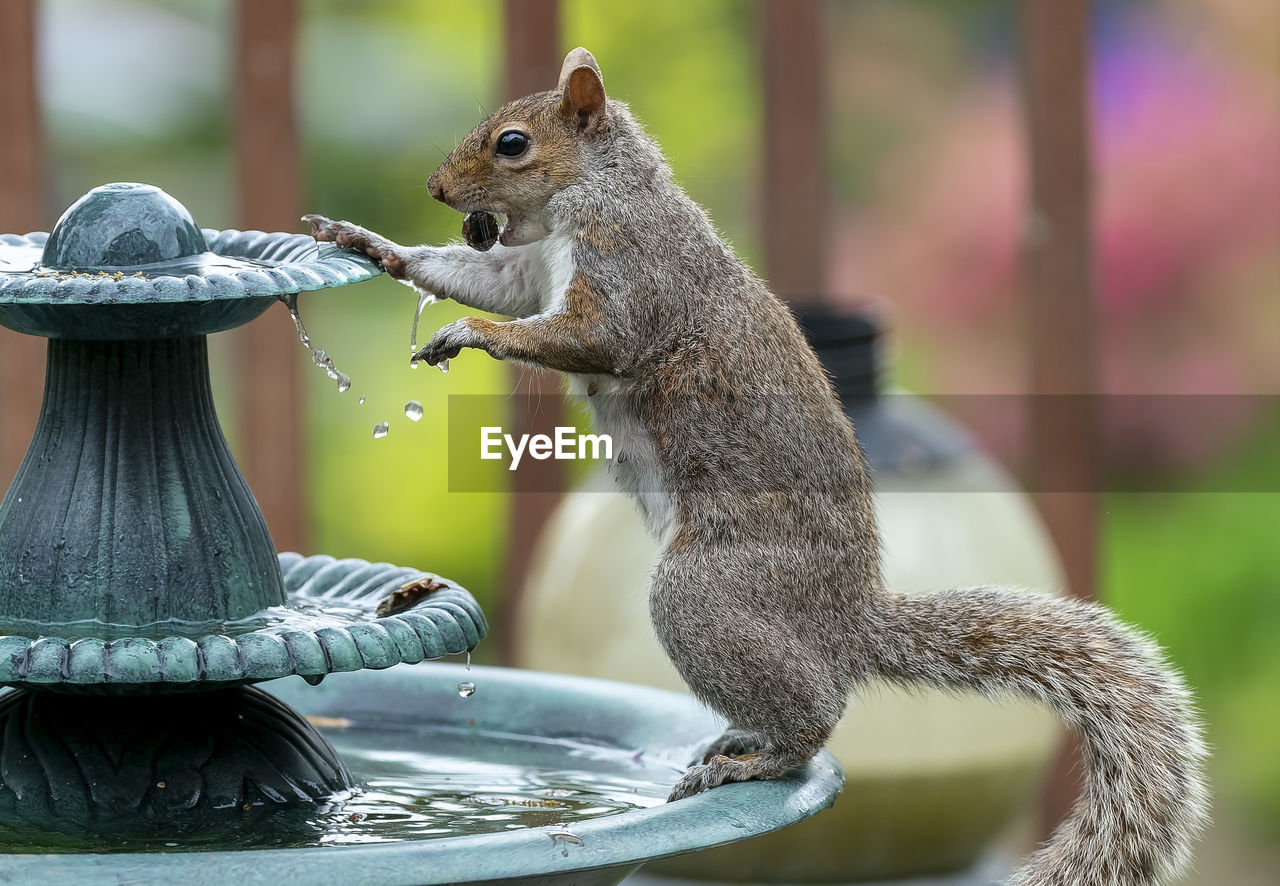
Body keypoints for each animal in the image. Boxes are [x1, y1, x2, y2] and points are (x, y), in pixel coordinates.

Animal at [304, 48, 1203, 886]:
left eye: (513, 144)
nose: (435, 189)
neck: (598, 195)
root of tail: (847, 620)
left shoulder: (629, 272)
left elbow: (583, 336)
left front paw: (469, 334)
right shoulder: (526, 271)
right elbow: (478, 280)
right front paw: (369, 243)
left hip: (705, 596)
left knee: (814, 717)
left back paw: (759, 759)